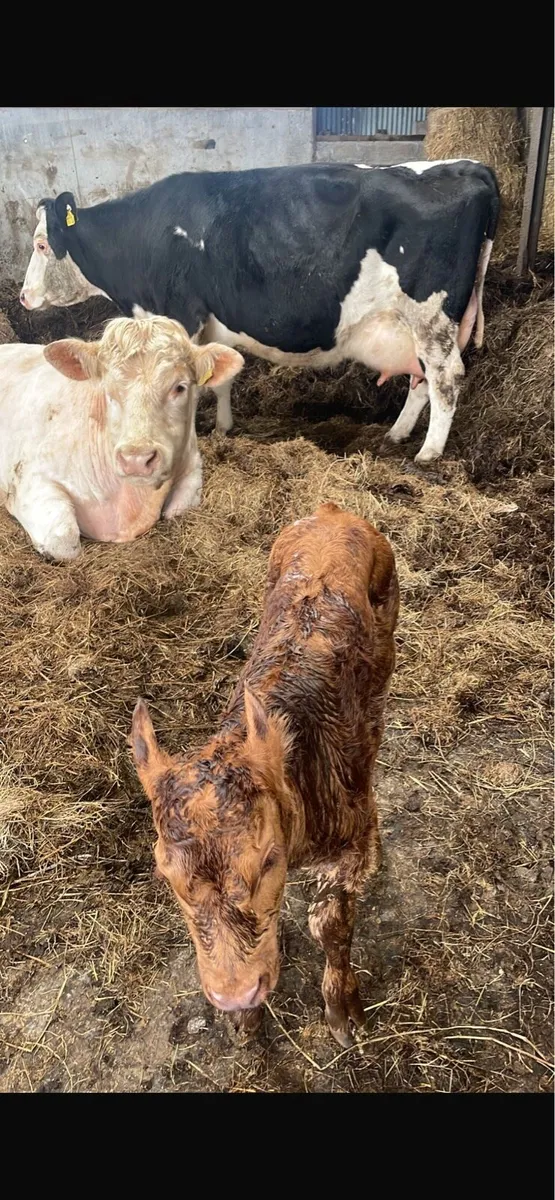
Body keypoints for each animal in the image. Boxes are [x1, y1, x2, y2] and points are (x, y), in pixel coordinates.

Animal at [0, 316, 243, 561]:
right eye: (107, 389)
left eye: (180, 387)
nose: (136, 460)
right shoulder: (31, 480)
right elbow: (64, 541)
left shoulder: (192, 466)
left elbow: (178, 510)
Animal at [20, 160, 499, 464]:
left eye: (41, 245)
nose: (23, 297)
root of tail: (469, 167)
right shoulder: (209, 325)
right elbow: (220, 377)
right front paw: (224, 428)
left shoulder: (182, 316)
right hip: (419, 328)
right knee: (423, 380)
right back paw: (398, 433)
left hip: (430, 317)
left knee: (446, 379)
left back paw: (427, 453)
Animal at [130, 502, 399, 1047]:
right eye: (166, 875)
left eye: (268, 860)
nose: (234, 994)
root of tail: (333, 512)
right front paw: (244, 1021)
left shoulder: (352, 835)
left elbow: (330, 924)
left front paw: (343, 1011)